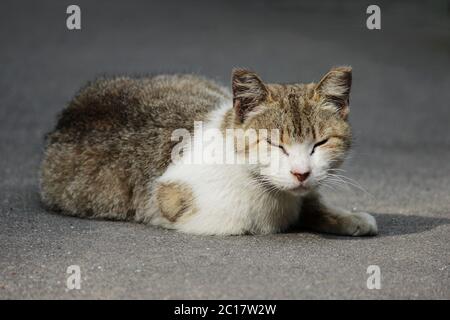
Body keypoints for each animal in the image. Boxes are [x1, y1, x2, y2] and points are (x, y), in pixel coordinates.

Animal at [38, 67, 378, 236]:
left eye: (320, 143)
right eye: (274, 144)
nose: (300, 172)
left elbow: (310, 201)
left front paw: (345, 217)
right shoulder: (174, 201)